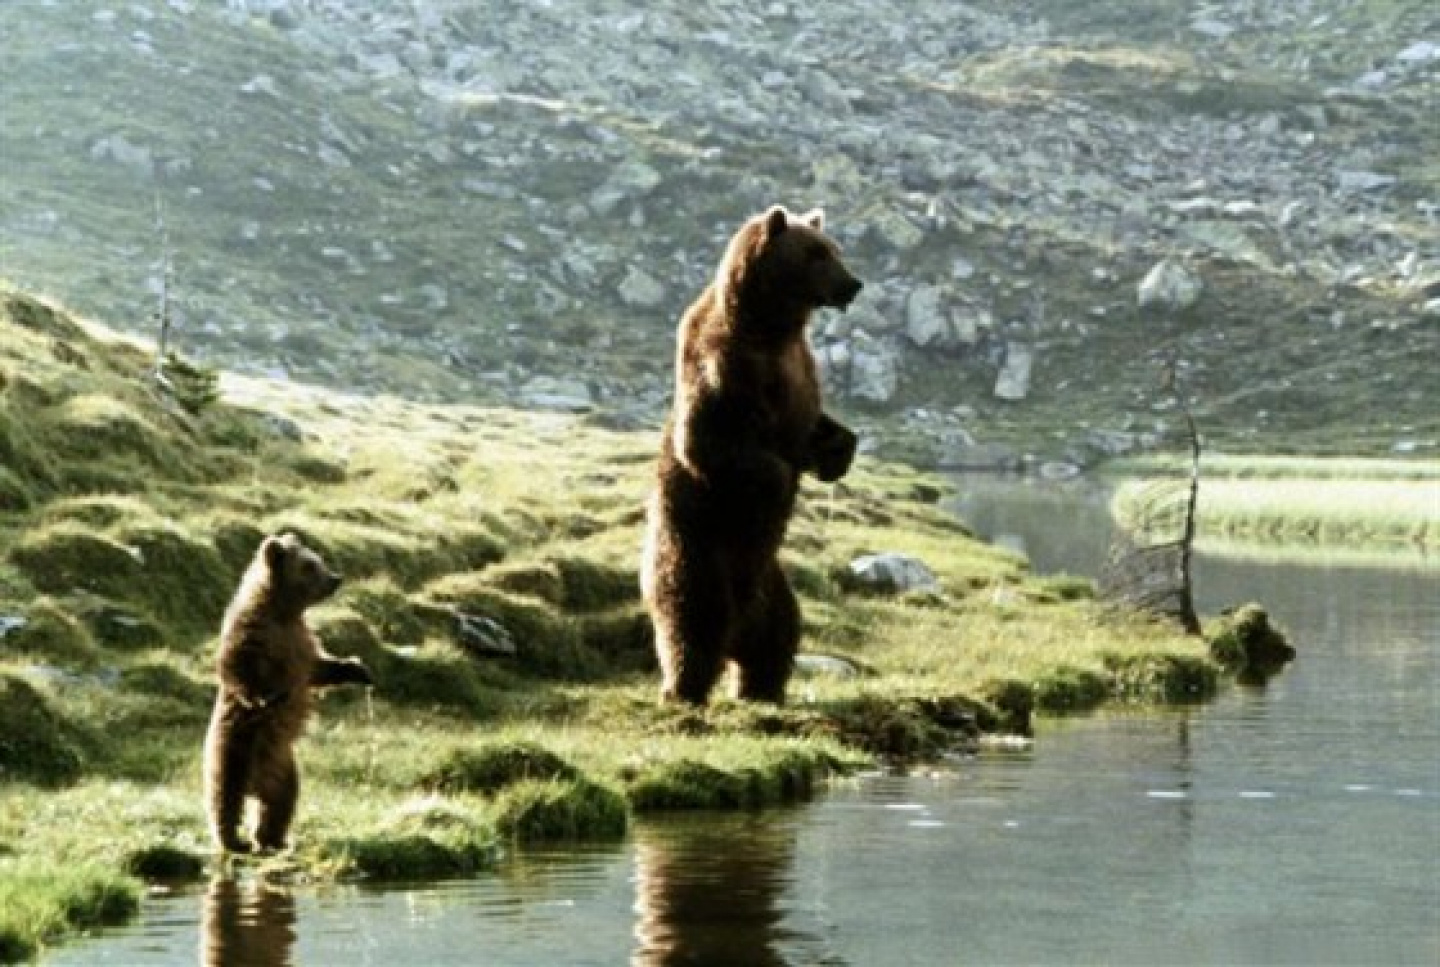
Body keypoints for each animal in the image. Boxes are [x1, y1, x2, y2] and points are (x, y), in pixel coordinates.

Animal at [203, 532, 373, 853]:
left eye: (318, 558)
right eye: (309, 565)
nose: (336, 578)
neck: (282, 611)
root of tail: (256, 784)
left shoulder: (300, 642)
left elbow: (319, 669)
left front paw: (358, 669)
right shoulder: (253, 632)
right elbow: (236, 665)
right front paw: (263, 697)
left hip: (284, 767)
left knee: (280, 802)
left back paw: (272, 839)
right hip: (233, 748)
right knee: (225, 797)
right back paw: (234, 841)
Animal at [640, 205, 863, 705]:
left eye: (835, 249)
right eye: (816, 253)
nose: (853, 284)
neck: (770, 325)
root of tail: (736, 633)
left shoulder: (799, 367)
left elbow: (813, 424)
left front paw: (839, 450)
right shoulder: (725, 365)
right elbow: (707, 442)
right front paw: (778, 480)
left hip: (772, 586)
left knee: (779, 635)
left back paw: (762, 688)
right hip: (697, 556)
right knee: (691, 627)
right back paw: (683, 689)